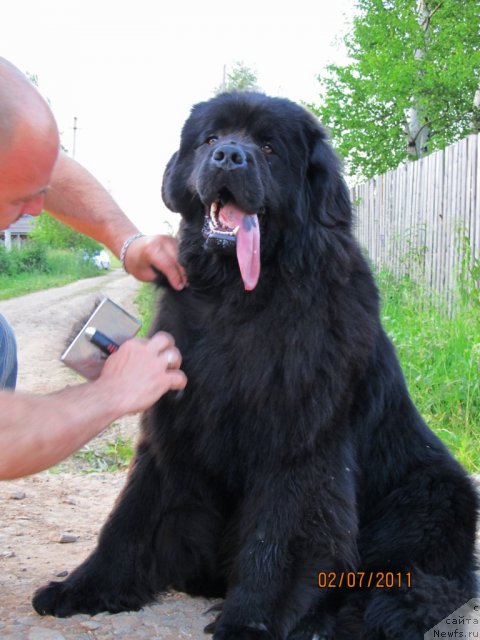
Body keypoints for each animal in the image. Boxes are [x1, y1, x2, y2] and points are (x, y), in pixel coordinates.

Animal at [32, 92, 476, 636]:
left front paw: (250, 620)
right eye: (211, 139)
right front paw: (84, 586)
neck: (241, 298)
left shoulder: (297, 442)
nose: (228, 156)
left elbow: (276, 537)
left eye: (268, 147)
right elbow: (132, 515)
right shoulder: (174, 426)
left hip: (428, 494)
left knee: (414, 585)